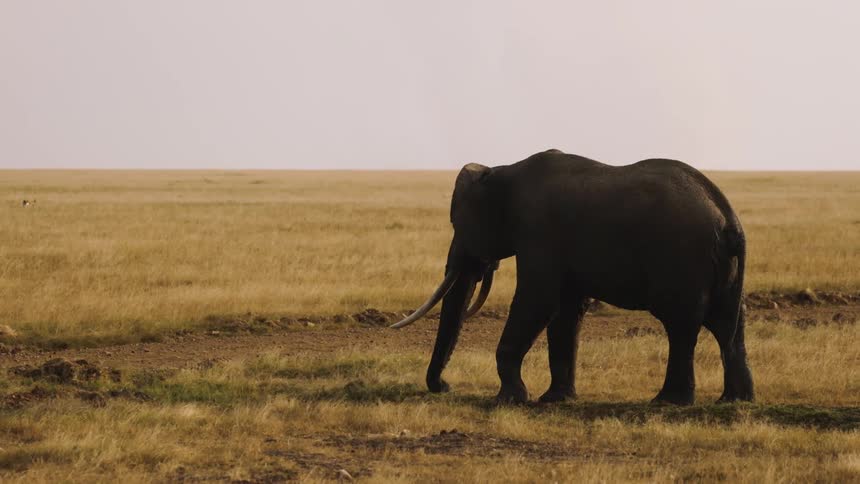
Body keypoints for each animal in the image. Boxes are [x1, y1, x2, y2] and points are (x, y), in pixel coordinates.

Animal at [391, 149, 754, 406]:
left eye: (457, 223)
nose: (445, 387)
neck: (504, 171)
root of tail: (730, 222)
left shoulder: (539, 233)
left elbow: (536, 300)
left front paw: (509, 400)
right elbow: (565, 311)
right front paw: (555, 399)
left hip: (682, 259)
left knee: (681, 324)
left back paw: (668, 402)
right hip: (721, 268)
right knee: (729, 326)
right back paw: (734, 401)